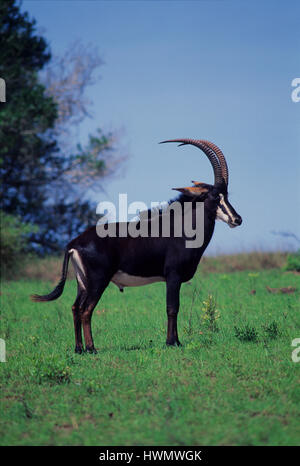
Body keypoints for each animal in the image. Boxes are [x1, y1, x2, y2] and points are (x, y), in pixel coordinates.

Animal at [31, 138, 241, 354]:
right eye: (215, 196)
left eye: (227, 195)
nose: (237, 219)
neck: (182, 227)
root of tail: (74, 243)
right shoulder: (173, 276)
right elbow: (172, 308)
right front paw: (171, 343)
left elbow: (174, 308)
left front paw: (177, 341)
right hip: (98, 281)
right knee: (86, 309)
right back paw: (92, 348)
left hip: (83, 282)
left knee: (75, 308)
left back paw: (79, 349)